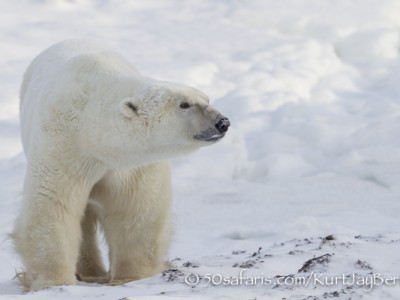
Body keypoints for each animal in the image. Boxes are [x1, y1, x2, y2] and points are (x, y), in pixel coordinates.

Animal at [11, 39, 228, 290]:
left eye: (206, 99)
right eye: (184, 104)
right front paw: (54, 281)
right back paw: (90, 272)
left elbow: (136, 209)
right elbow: (53, 205)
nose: (223, 122)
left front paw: (129, 276)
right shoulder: (63, 147)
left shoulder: (131, 165)